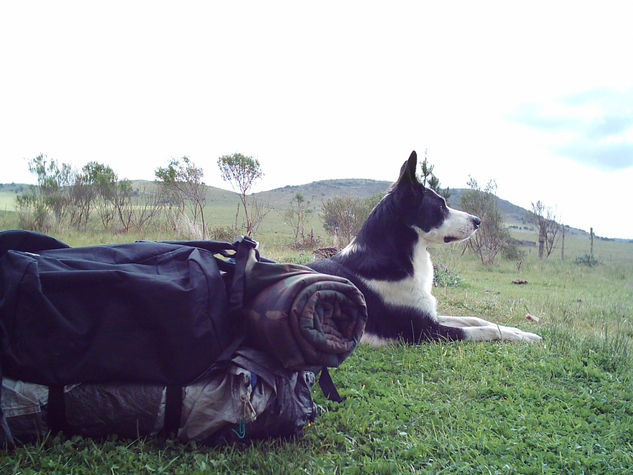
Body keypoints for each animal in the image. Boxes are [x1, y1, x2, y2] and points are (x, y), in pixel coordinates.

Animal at [306, 152, 540, 346]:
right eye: (441, 206)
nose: (477, 221)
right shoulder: (425, 330)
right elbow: (482, 330)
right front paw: (517, 335)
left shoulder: (431, 314)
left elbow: (474, 319)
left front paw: (518, 330)